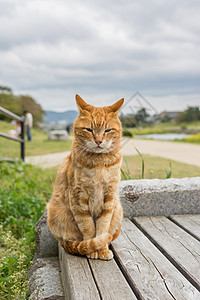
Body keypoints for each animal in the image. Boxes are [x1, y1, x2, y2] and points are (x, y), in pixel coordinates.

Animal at [47, 94, 124, 260]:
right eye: (89, 129)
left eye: (107, 130)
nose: (99, 141)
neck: (98, 162)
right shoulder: (78, 198)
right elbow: (88, 228)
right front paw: (92, 250)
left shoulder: (109, 198)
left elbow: (102, 227)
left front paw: (102, 250)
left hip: (118, 210)